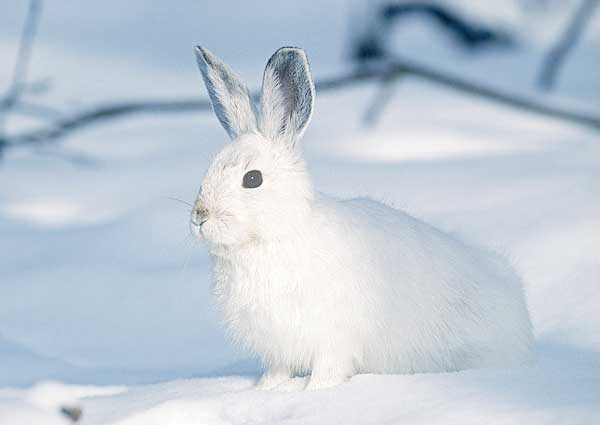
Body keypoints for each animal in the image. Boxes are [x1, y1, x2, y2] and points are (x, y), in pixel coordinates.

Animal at [190, 45, 532, 388]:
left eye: (253, 179)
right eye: (208, 170)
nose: (199, 217)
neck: (276, 234)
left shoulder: (332, 342)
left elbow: (327, 372)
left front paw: (314, 391)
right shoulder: (278, 350)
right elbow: (277, 372)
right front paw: (266, 390)